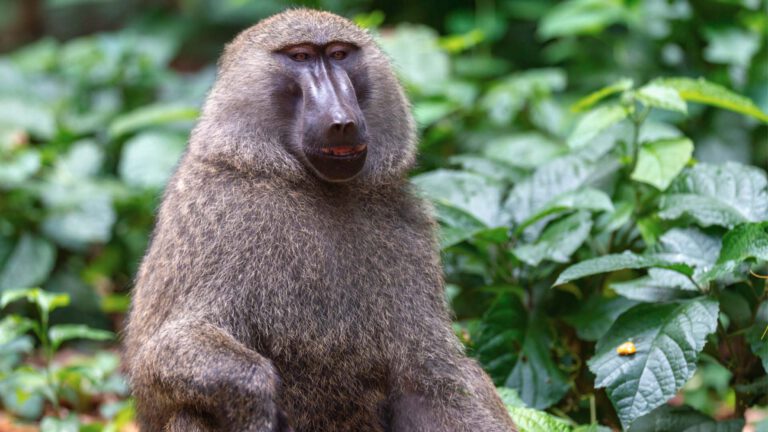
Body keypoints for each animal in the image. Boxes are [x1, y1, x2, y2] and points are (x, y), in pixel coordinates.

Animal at [124, 8, 517, 432]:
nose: (342, 120)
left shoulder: (408, 224)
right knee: (191, 410)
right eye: (300, 57)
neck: (310, 184)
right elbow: (161, 351)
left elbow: (432, 376)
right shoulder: (216, 212)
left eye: (340, 54)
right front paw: (254, 396)